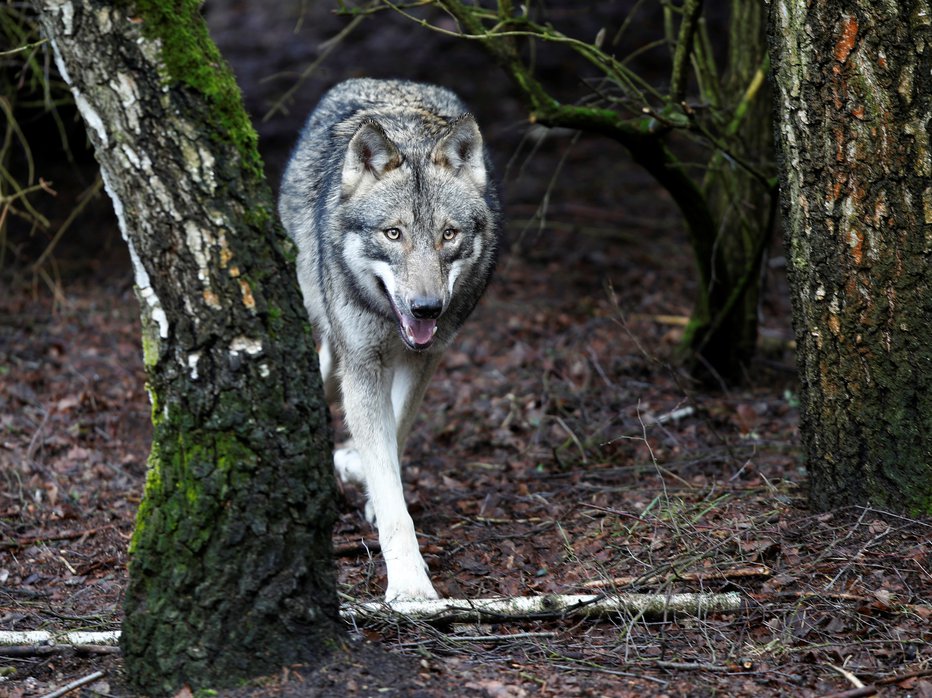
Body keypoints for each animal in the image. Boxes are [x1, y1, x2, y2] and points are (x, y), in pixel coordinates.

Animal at [278, 77, 502, 600]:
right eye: (393, 233)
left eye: (448, 235)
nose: (427, 309)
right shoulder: (362, 363)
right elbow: (388, 483)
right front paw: (409, 585)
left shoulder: (425, 359)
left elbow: (395, 431)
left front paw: (369, 481)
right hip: (324, 324)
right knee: (322, 365)